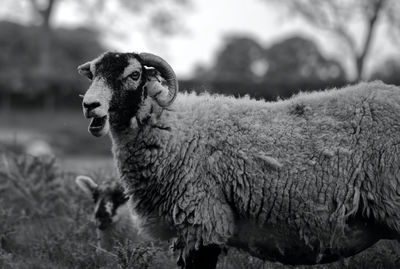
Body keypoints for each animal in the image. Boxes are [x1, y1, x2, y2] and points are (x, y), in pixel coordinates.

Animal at [76, 51, 400, 266]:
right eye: (94, 75)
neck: (173, 128)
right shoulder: (186, 232)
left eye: (134, 75)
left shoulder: (203, 220)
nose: (89, 105)